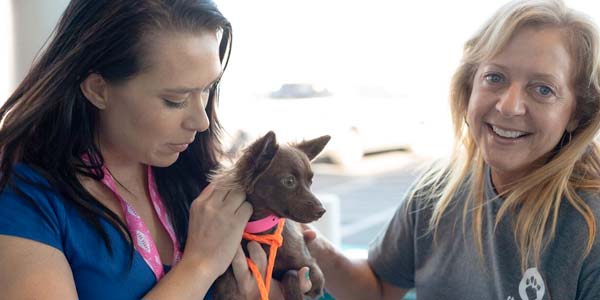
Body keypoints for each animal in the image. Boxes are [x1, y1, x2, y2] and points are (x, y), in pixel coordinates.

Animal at [211, 131, 330, 300]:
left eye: (310, 182)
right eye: (289, 181)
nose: (322, 210)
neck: (263, 231)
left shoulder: (315, 278)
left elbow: (290, 274)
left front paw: (294, 294)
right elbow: (226, 279)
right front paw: (227, 291)